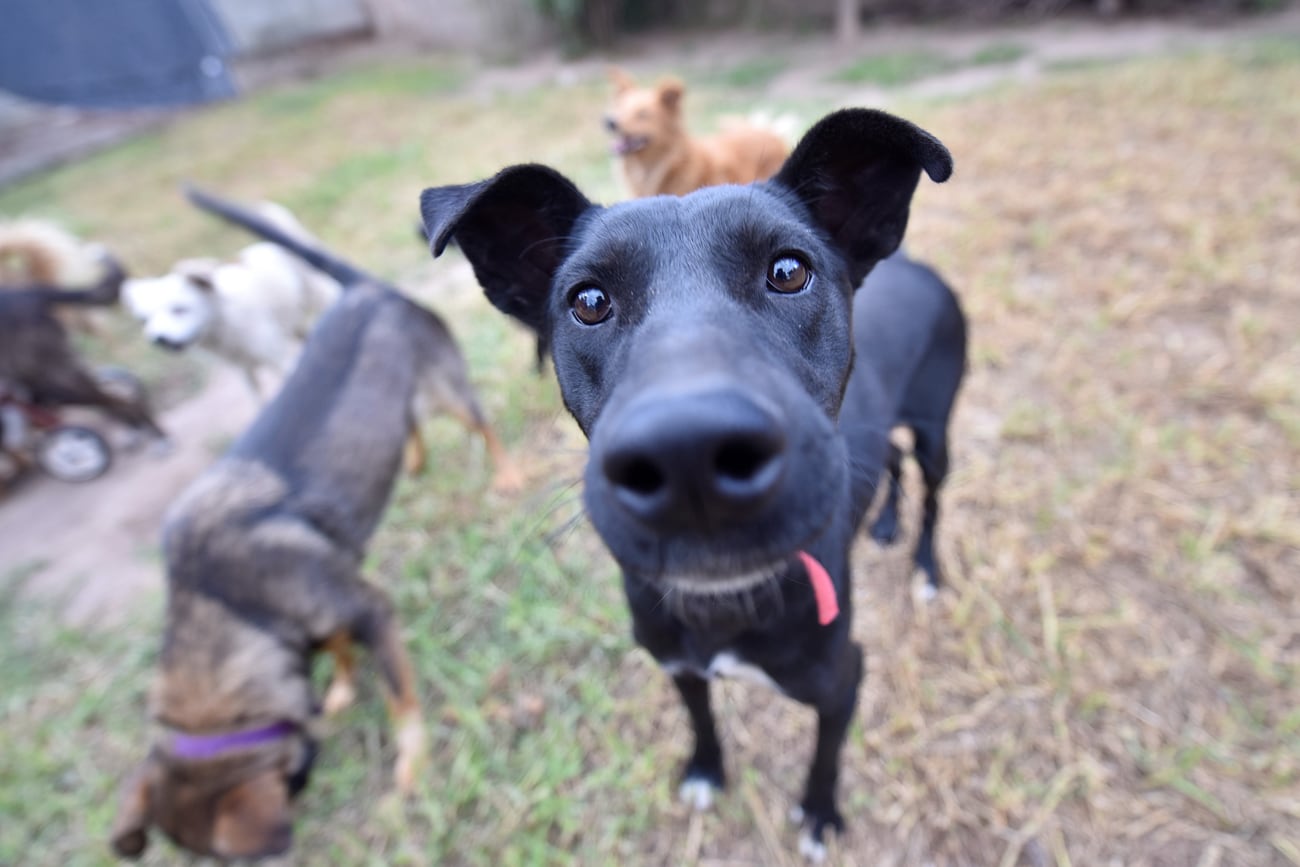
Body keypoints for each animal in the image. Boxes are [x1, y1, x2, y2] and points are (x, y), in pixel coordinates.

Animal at [122, 204, 340, 397]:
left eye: (179, 309)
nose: (159, 340)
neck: (224, 322)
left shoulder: (279, 359)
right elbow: (258, 400)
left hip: (319, 293)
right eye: (144, 320)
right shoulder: (244, 372)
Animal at [423, 110, 967, 863]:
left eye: (789, 271)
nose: (689, 455)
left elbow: (826, 755)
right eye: (588, 300)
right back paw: (883, 525)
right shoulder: (678, 666)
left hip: (938, 428)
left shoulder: (842, 680)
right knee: (888, 459)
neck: (725, 609)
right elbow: (702, 721)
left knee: (934, 492)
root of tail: (913, 265)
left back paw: (925, 567)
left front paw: (820, 813)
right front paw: (708, 771)